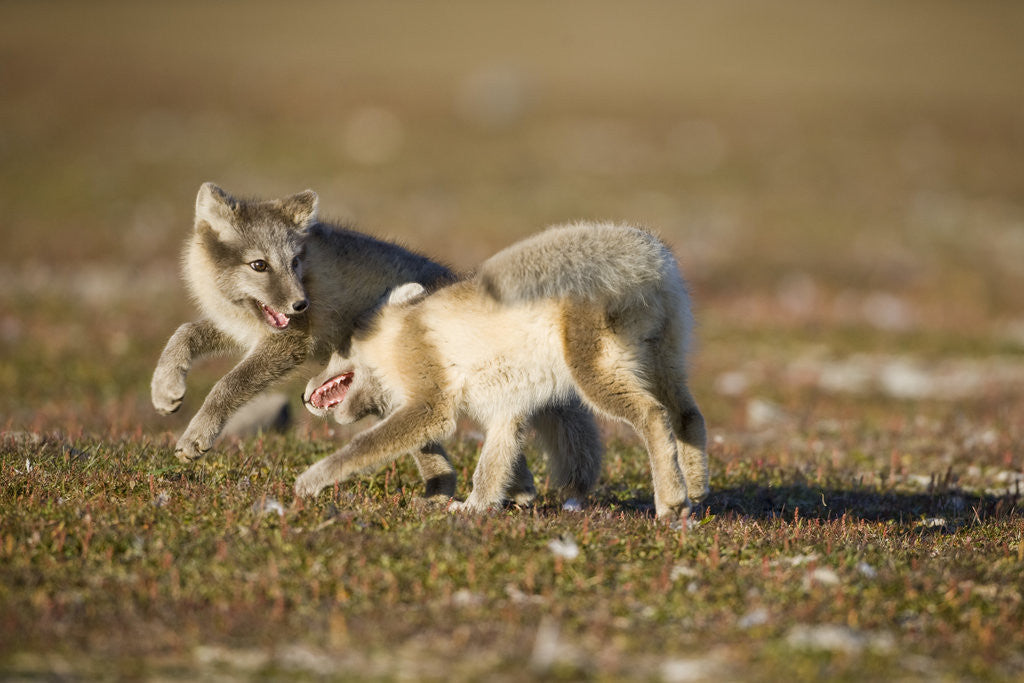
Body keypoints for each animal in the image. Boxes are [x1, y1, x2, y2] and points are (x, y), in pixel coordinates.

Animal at [151, 183, 602, 501]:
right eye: (259, 265)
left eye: (295, 262)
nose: (300, 304)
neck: (238, 307)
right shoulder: (239, 329)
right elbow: (184, 333)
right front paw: (165, 389)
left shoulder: (287, 342)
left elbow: (228, 385)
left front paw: (196, 435)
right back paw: (500, 492)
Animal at [294, 221, 709, 519]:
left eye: (339, 347)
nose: (303, 395)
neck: (397, 335)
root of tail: (647, 259)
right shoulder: (505, 414)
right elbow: (492, 469)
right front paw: (476, 508)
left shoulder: (431, 406)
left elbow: (361, 447)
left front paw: (311, 480)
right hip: (665, 364)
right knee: (688, 416)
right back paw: (697, 492)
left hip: (598, 377)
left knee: (653, 415)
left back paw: (670, 503)